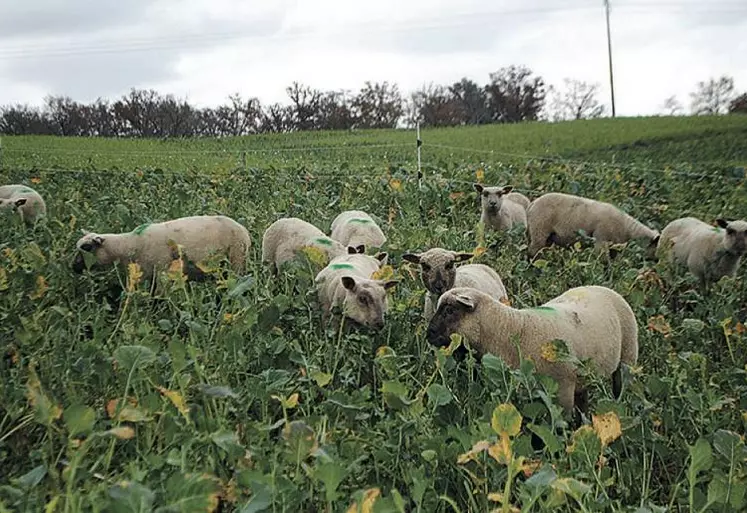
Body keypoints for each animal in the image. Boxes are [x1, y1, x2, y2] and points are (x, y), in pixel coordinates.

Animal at [74, 216, 253, 280]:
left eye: (87, 247)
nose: (73, 267)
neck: (129, 244)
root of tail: (244, 231)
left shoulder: (162, 272)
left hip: (236, 260)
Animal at [430, 284, 640, 412]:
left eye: (449, 310)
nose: (428, 334)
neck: (510, 329)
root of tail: (602, 287)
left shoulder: (562, 391)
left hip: (627, 360)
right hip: (583, 378)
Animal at [524, 191, 660, 258]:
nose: (658, 261)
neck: (627, 228)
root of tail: (532, 204)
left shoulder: (614, 247)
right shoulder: (602, 241)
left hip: (547, 236)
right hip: (539, 230)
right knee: (532, 252)